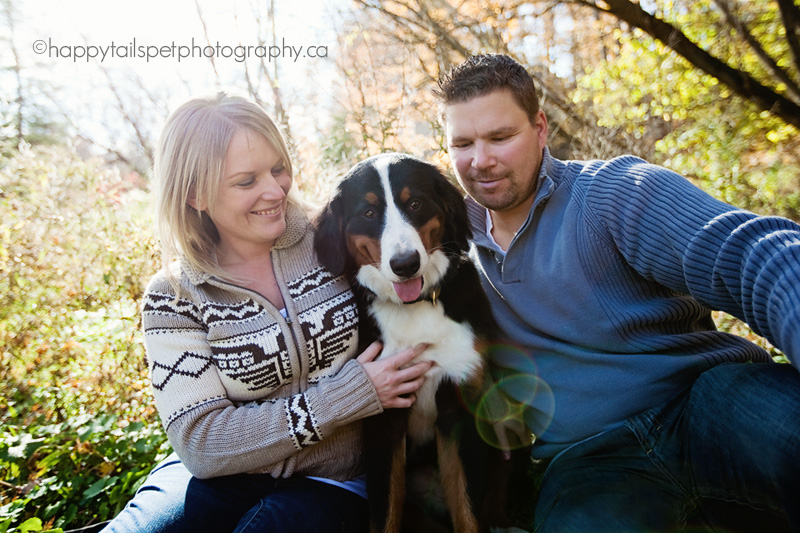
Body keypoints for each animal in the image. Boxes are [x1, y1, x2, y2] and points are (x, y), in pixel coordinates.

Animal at [312, 152, 520, 528]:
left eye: (415, 203)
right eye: (369, 213)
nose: (405, 264)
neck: (415, 309)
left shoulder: (459, 403)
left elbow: (468, 509)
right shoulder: (382, 417)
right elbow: (385, 515)